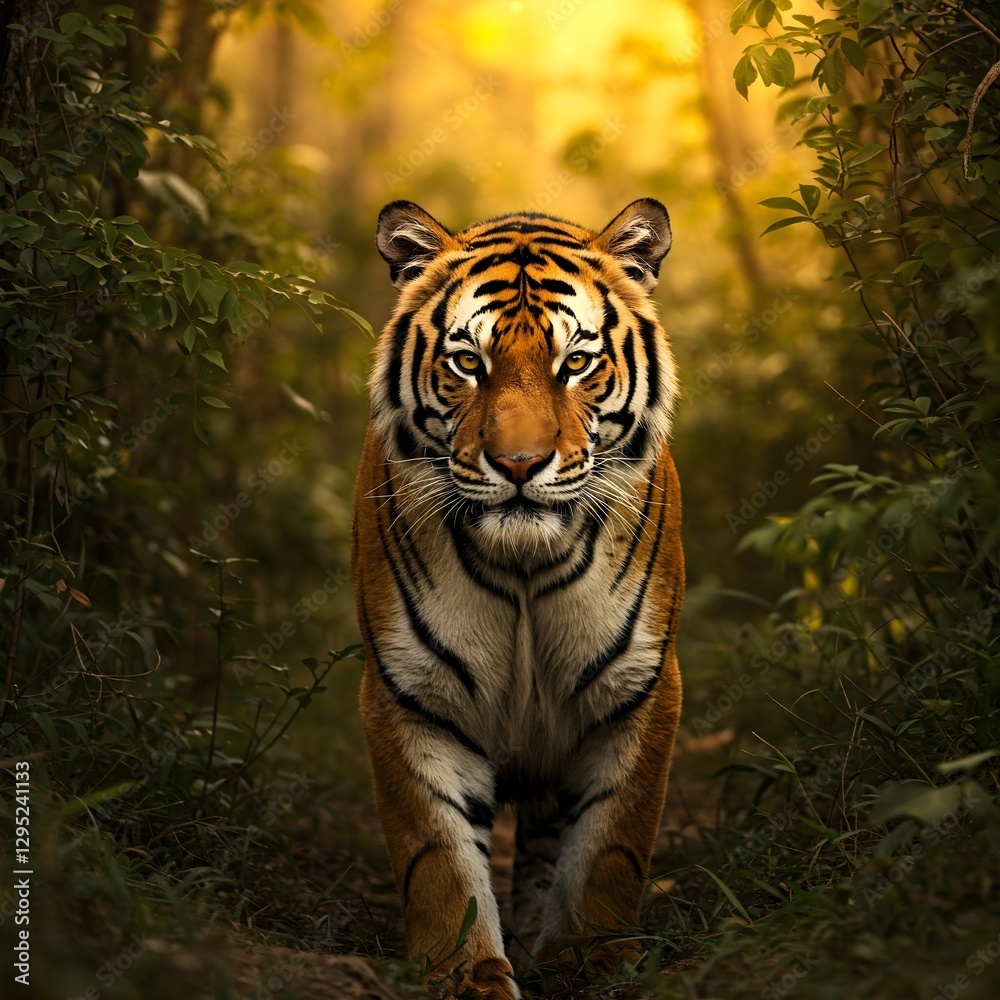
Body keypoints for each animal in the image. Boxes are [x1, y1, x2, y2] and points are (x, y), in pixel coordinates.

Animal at [352, 197, 684, 999]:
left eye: (577, 364)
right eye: (469, 363)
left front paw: (585, 963)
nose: (520, 464)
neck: (525, 566)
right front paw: (467, 977)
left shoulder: (639, 691)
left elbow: (608, 851)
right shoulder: (410, 696)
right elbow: (439, 862)